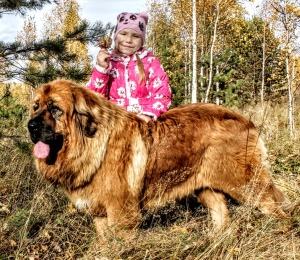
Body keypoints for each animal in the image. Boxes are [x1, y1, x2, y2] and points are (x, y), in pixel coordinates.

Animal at [28, 79, 288, 234]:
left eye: (55, 108)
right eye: (36, 106)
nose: (30, 126)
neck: (90, 144)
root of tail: (243, 119)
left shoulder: (122, 214)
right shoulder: (100, 215)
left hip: (247, 185)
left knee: (275, 209)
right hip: (205, 188)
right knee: (222, 215)